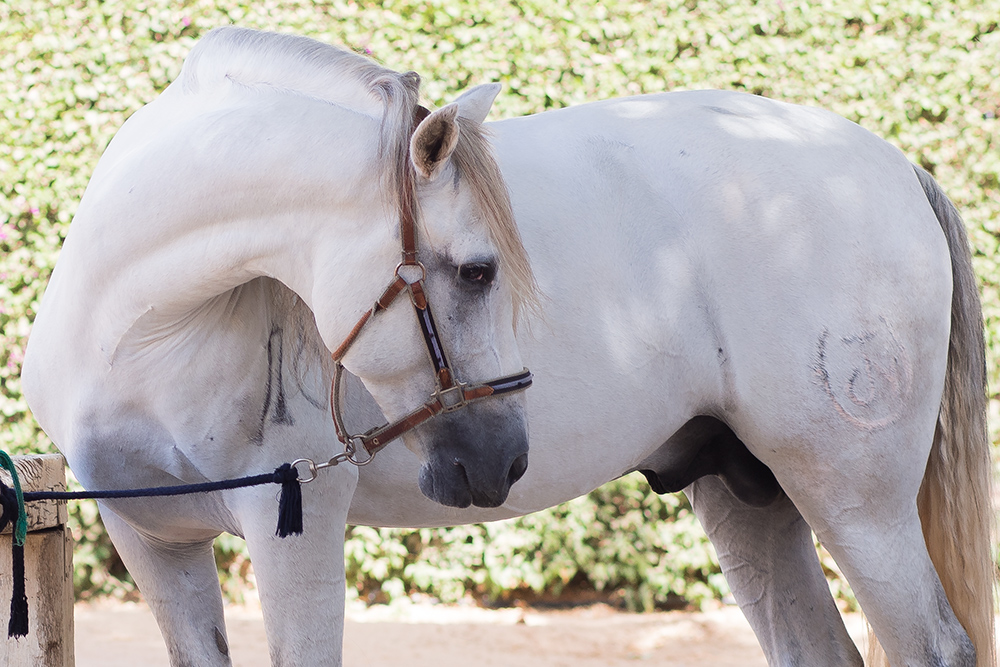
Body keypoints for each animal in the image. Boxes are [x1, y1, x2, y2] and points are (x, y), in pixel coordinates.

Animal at [19, 27, 988, 667]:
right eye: (481, 270)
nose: (503, 460)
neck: (142, 333)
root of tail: (896, 166)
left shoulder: (294, 528)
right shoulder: (150, 540)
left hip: (854, 500)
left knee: (934, 643)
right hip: (747, 492)